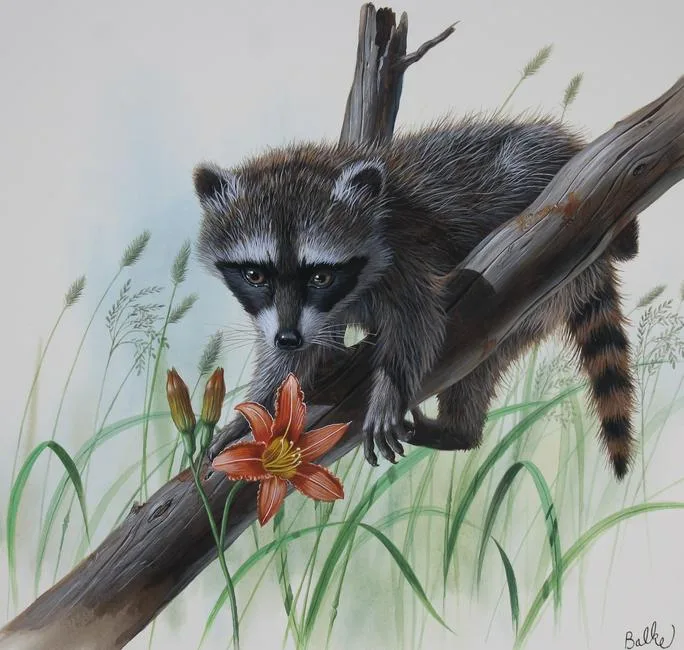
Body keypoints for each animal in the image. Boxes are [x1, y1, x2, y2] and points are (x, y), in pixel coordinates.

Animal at [194, 115, 639, 479]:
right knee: (483, 364)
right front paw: (259, 404)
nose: (288, 337)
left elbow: (418, 320)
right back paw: (461, 430)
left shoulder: (404, 250)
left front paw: (388, 385)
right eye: (255, 275)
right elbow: (290, 360)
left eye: (321, 275)